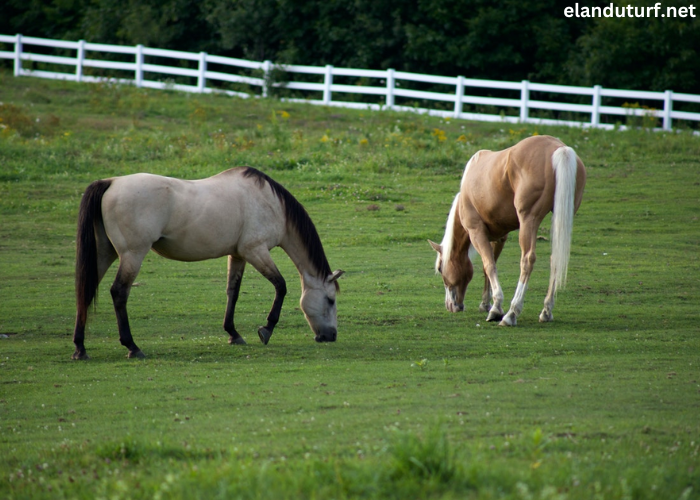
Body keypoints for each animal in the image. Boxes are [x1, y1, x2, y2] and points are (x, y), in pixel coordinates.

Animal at [72, 168, 344, 360]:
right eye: (330, 300)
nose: (331, 336)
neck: (270, 203)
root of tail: (111, 182)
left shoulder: (238, 255)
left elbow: (233, 292)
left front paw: (233, 334)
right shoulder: (255, 251)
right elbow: (281, 286)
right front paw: (266, 329)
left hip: (105, 253)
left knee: (85, 291)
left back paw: (80, 348)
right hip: (132, 254)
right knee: (119, 292)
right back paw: (132, 346)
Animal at [426, 135, 584, 326]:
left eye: (440, 268)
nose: (451, 306)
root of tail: (559, 148)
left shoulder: (476, 232)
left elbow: (489, 265)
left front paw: (495, 309)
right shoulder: (499, 237)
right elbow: (488, 266)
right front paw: (486, 304)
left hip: (528, 220)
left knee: (527, 260)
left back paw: (511, 313)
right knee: (556, 258)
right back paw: (546, 311)